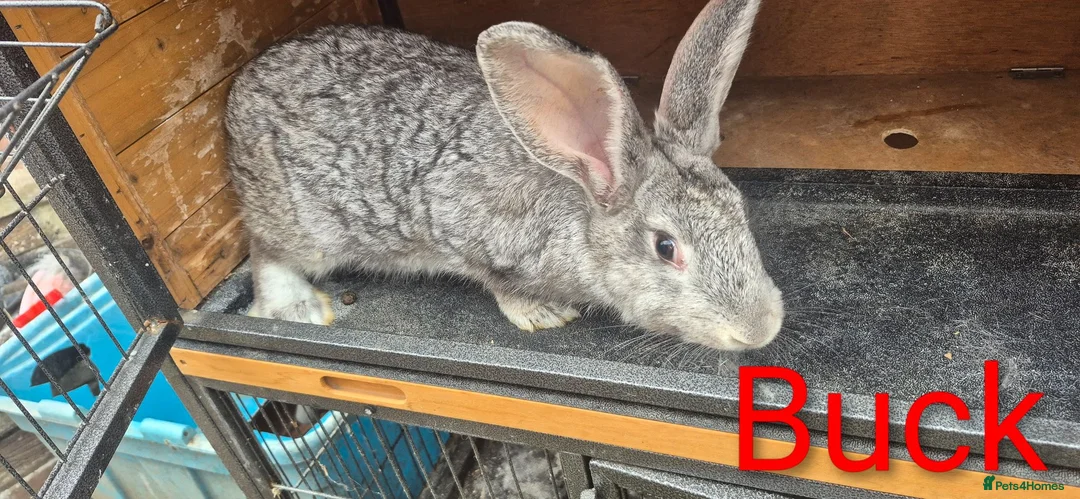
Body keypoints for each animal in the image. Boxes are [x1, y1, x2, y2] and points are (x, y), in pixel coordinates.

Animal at [225, 0, 783, 351]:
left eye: (742, 211)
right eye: (666, 248)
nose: (760, 331)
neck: (583, 196)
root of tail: (240, 88)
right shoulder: (469, 233)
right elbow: (495, 283)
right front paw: (542, 315)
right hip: (300, 225)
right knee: (267, 254)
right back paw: (298, 309)